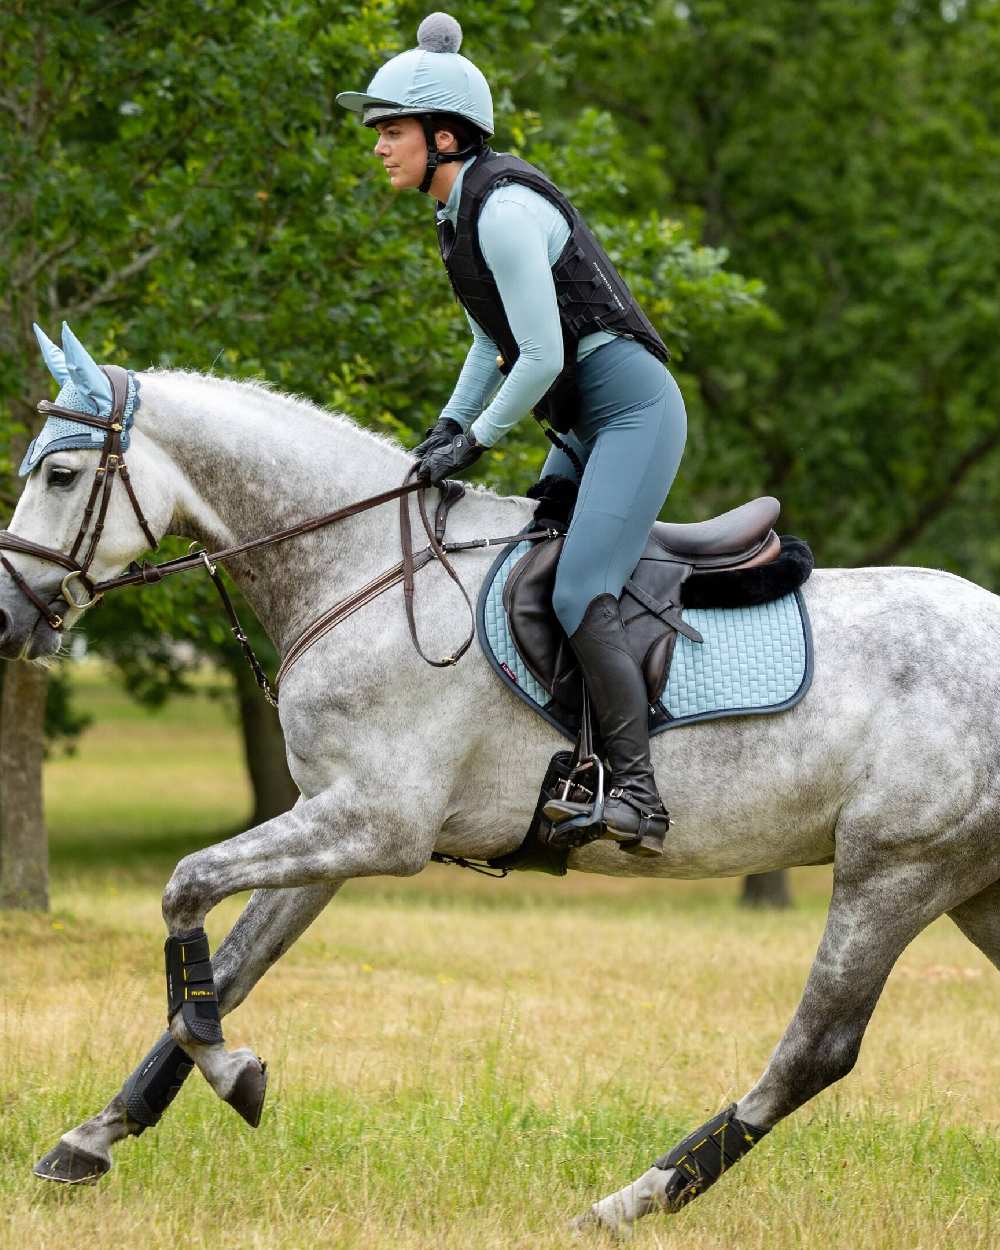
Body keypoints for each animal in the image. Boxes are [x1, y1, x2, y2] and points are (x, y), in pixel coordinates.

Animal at [3, 322, 995, 1230]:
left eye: (61, 477)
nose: (9, 618)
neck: (367, 567)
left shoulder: (378, 826)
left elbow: (185, 889)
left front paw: (233, 1075)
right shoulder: (332, 822)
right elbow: (233, 963)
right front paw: (93, 1137)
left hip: (895, 870)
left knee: (815, 1049)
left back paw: (628, 1201)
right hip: (970, 887)